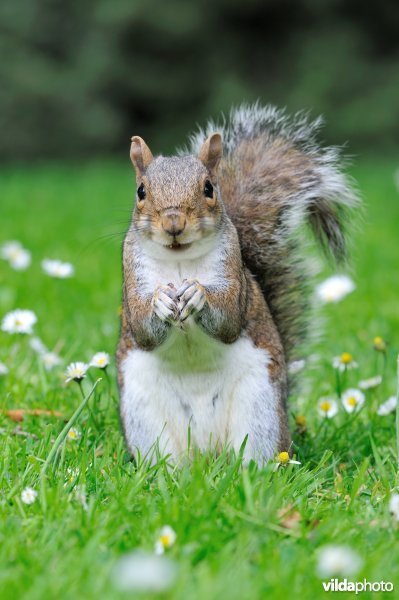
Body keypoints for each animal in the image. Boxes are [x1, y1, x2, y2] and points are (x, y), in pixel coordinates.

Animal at [116, 103, 356, 464]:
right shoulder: (133, 275)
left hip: (259, 409)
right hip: (143, 414)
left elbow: (228, 318)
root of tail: (205, 454)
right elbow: (143, 328)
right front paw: (160, 301)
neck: (179, 261)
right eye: (141, 191)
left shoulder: (233, 273)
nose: (174, 222)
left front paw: (197, 293)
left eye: (208, 188)